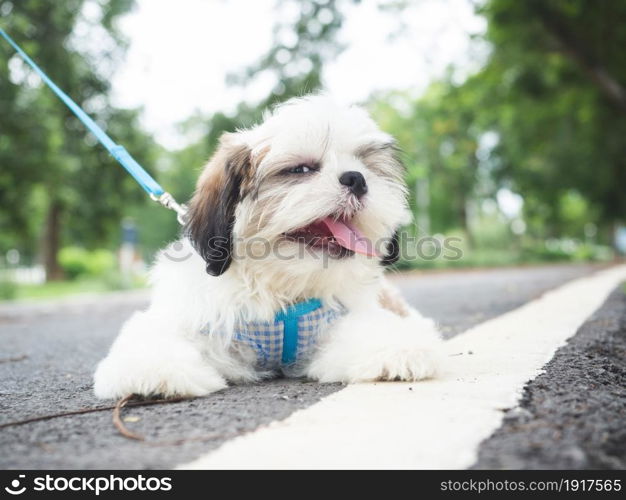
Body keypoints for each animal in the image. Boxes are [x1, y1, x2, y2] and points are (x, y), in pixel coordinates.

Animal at [95, 94, 442, 398]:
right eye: (301, 169)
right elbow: (159, 337)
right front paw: (154, 370)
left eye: (367, 166)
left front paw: (398, 349)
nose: (357, 178)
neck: (281, 287)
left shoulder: (340, 319)